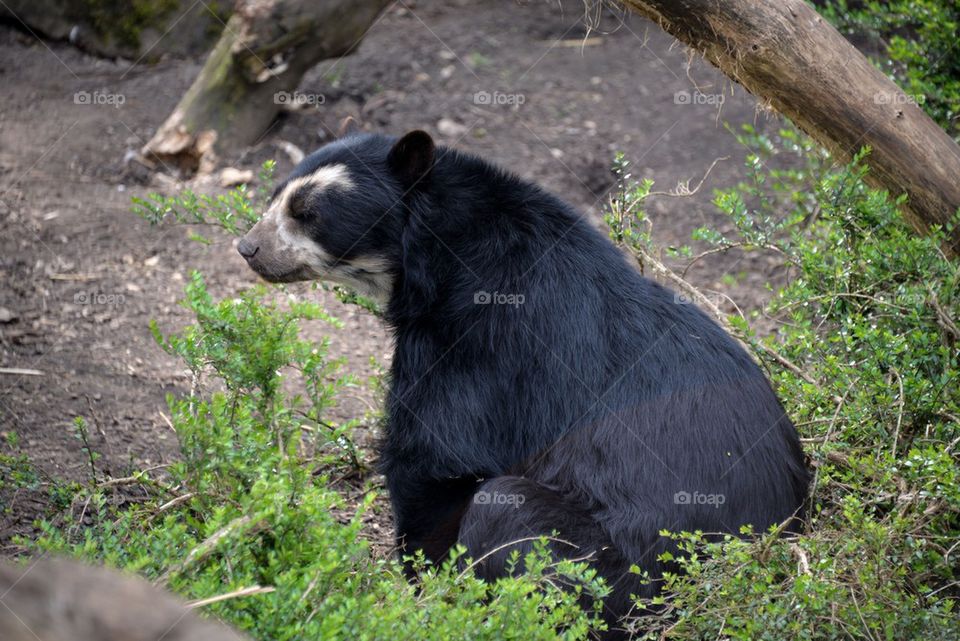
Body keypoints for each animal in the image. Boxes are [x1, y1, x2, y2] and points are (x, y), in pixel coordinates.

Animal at [238, 130, 810, 637]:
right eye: (275, 198)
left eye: (308, 213)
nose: (247, 248)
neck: (434, 250)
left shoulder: (479, 339)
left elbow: (436, 453)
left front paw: (428, 585)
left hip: (611, 564)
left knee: (505, 510)